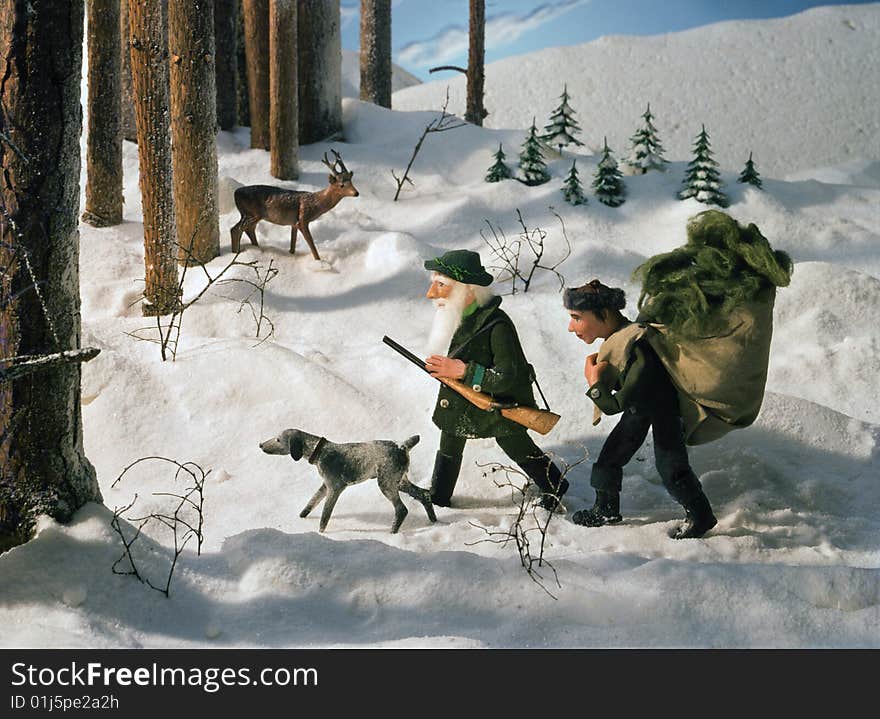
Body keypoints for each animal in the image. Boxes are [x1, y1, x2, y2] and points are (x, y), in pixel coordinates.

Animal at [232, 148, 362, 260]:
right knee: (237, 229)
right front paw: (319, 262)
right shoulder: (303, 220)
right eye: (341, 185)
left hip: (249, 214)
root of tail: (235, 193)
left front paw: (292, 254)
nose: (356, 193)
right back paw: (237, 253)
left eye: (351, 182)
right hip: (253, 213)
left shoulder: (293, 223)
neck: (316, 203)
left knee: (246, 229)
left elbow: (293, 245)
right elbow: (313, 247)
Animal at [262, 430, 440, 532]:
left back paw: (392, 532)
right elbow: (311, 503)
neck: (319, 451)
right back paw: (433, 521)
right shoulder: (325, 486)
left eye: (278, 440)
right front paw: (301, 518)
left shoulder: (334, 489)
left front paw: (321, 534)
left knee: (401, 509)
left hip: (386, 482)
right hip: (399, 481)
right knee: (424, 494)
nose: (260, 445)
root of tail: (402, 446)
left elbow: (324, 517)